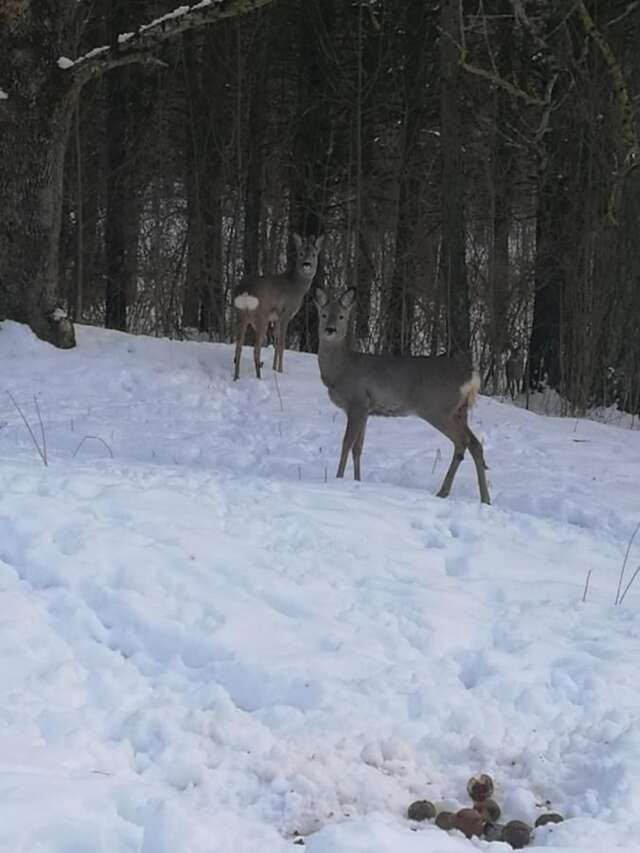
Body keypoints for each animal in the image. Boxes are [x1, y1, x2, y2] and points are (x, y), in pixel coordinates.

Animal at [234, 233, 324, 380]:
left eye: (314, 254)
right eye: (301, 253)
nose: (307, 264)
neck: (296, 286)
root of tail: (246, 293)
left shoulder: (275, 318)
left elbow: (276, 341)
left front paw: (274, 368)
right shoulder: (285, 313)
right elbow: (281, 343)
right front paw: (281, 370)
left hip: (241, 316)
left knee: (238, 347)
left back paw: (236, 377)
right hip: (261, 317)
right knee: (255, 349)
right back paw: (259, 377)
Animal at [316, 290, 490, 506]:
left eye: (341, 316)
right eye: (323, 314)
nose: (330, 330)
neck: (340, 370)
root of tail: (471, 377)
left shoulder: (357, 403)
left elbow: (346, 443)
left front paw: (338, 479)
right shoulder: (367, 409)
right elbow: (358, 447)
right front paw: (357, 481)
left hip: (438, 408)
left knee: (462, 441)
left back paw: (447, 492)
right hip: (460, 410)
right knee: (474, 444)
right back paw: (482, 498)